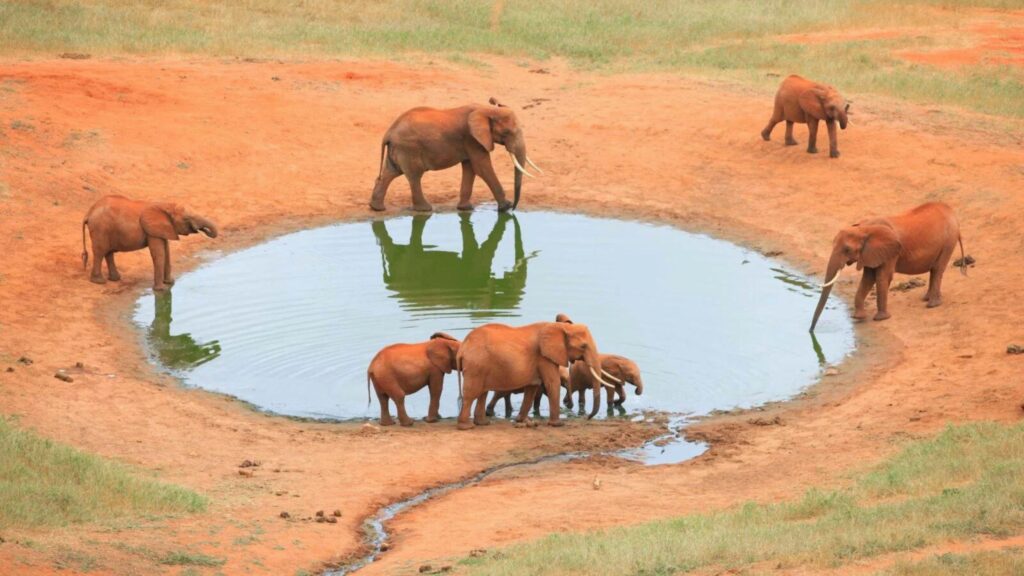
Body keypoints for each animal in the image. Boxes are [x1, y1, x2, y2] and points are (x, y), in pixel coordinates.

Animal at [82, 193, 219, 291]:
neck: (166, 206)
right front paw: (161, 289)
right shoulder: (151, 230)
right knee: (100, 251)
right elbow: (159, 253)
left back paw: (115, 279)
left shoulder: (163, 228)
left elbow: (166, 251)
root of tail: (89, 212)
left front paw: (170, 282)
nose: (203, 230)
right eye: (186, 219)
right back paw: (99, 282)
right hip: (100, 228)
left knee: (108, 252)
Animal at [370, 96, 544, 213]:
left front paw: (465, 208)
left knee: (389, 173)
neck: (486, 109)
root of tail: (388, 133)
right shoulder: (472, 139)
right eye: (507, 133)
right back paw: (425, 209)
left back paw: (376, 208)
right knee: (414, 176)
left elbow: (470, 169)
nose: (514, 209)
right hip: (409, 149)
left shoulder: (470, 143)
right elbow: (482, 168)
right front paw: (505, 207)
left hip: (399, 150)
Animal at [456, 315, 614, 428]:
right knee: (472, 393)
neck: (560, 327)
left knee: (482, 392)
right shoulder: (544, 356)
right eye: (583, 346)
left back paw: (483, 423)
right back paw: (466, 426)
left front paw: (522, 421)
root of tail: (462, 348)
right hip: (476, 365)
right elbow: (552, 383)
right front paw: (558, 424)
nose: (587, 417)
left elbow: (533, 387)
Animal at [811, 201, 962, 330]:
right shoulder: (870, 253)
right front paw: (858, 317)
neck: (864, 229)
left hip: (949, 241)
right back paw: (927, 298)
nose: (811, 330)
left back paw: (932, 305)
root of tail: (952, 212)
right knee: (934, 270)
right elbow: (868, 279)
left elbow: (883, 277)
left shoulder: (890, 252)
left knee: (937, 269)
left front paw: (881, 319)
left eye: (847, 249)